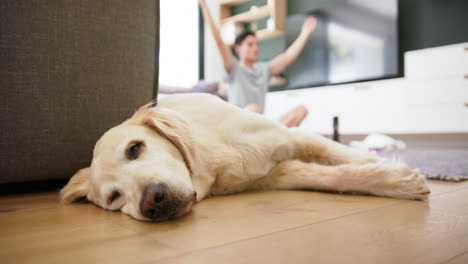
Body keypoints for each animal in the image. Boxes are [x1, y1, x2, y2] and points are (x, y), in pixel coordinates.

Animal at [59, 94, 432, 222]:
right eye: (115, 198)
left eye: (135, 148)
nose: (153, 200)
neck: (214, 157)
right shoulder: (277, 174)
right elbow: (331, 175)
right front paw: (394, 179)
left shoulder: (290, 137)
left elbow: (336, 152)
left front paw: (387, 170)